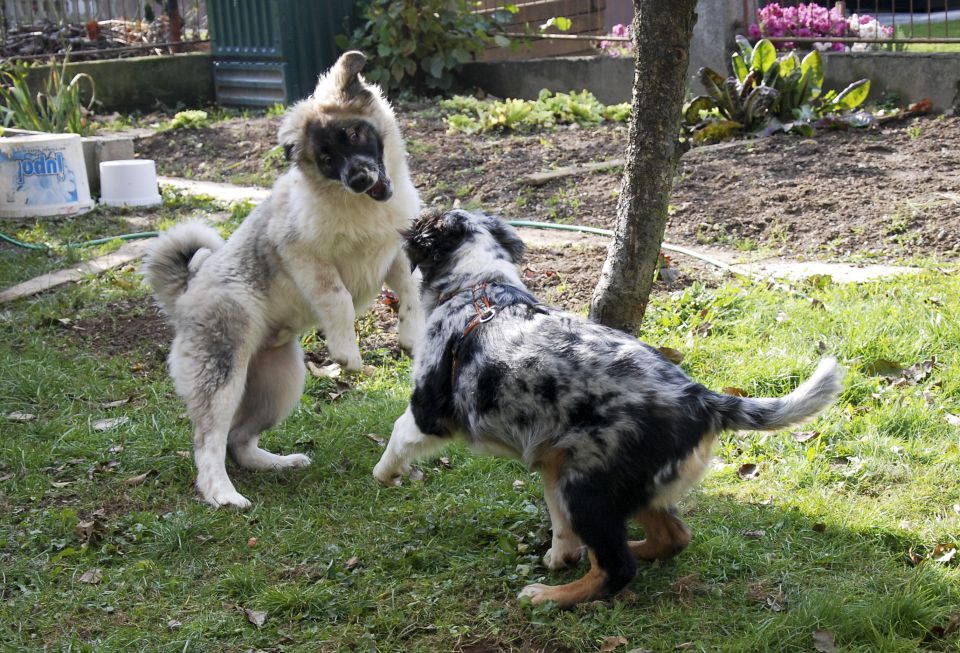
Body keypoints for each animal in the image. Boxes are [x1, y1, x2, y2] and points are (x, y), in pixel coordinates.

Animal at [372, 209, 844, 608]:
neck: (477, 284)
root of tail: (701, 398)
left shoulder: (428, 409)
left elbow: (396, 435)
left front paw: (385, 475)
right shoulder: (550, 460)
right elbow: (557, 518)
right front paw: (561, 553)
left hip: (588, 485)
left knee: (617, 568)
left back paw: (549, 596)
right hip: (616, 478)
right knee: (672, 537)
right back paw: (607, 553)